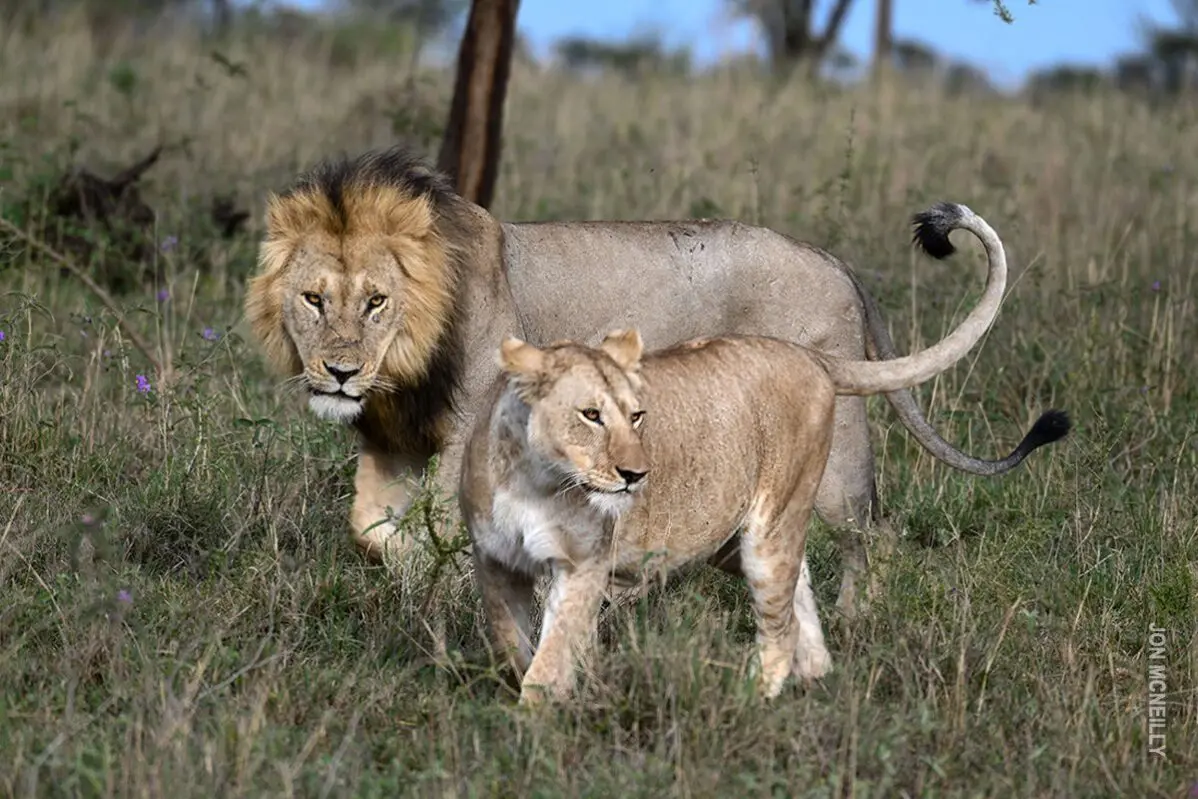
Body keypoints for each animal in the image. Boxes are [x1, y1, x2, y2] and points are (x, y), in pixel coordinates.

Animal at [243, 147, 1070, 618]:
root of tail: (836, 262)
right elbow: (374, 532)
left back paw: (855, 622)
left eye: (376, 300)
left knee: (875, 531)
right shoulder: (395, 446)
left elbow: (439, 528)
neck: (403, 372)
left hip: (833, 445)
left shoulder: (472, 435)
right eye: (313, 298)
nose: (339, 372)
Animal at [459, 202, 1026, 704]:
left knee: (846, 556)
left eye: (634, 415)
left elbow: (550, 655)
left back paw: (786, 672)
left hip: (814, 489)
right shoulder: (497, 563)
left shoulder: (584, 565)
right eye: (589, 416)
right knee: (797, 589)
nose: (633, 474)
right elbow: (514, 644)